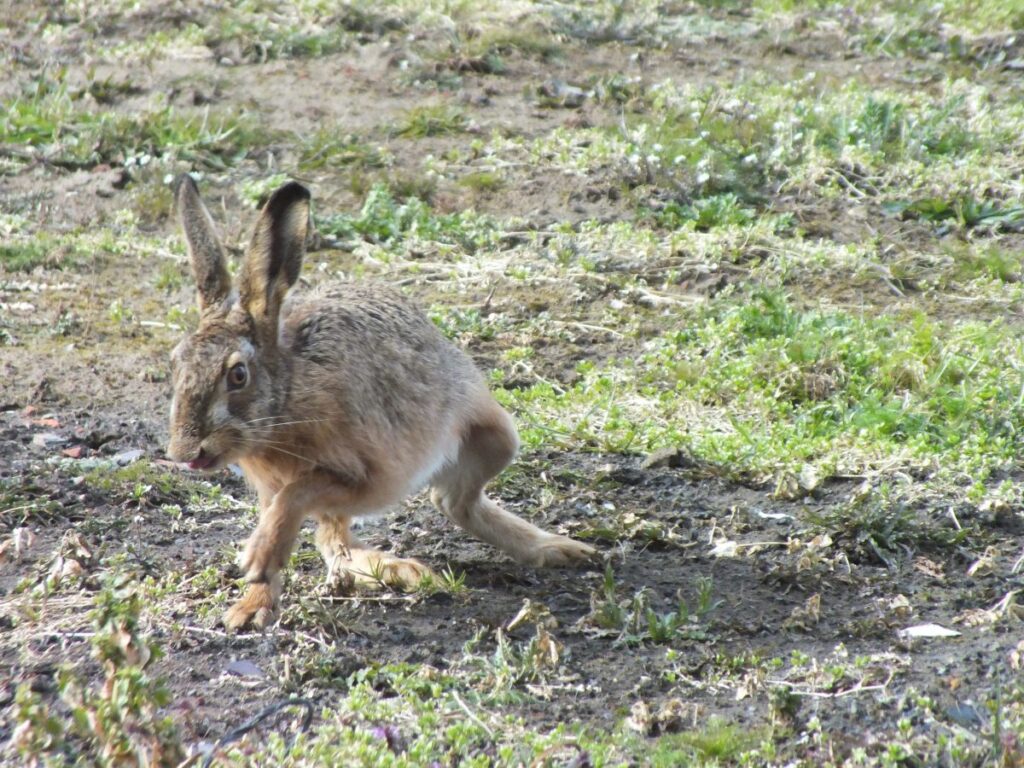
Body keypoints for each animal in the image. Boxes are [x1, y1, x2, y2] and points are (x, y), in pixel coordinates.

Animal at [166, 175, 596, 630]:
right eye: (175, 363)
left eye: (238, 375)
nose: (184, 452)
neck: (287, 397)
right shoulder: (276, 488)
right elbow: (291, 519)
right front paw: (252, 605)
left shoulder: (362, 477)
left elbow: (297, 495)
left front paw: (256, 560)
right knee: (346, 540)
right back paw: (400, 570)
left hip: (495, 435)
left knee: (452, 501)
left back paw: (553, 550)